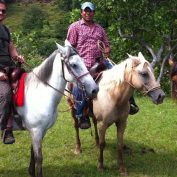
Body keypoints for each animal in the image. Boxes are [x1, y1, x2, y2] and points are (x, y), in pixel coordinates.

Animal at [6, 41, 99, 177]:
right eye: (74, 65)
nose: (94, 89)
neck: (40, 94)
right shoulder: (36, 131)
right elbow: (39, 158)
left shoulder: (41, 131)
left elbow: (33, 152)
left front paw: (31, 172)